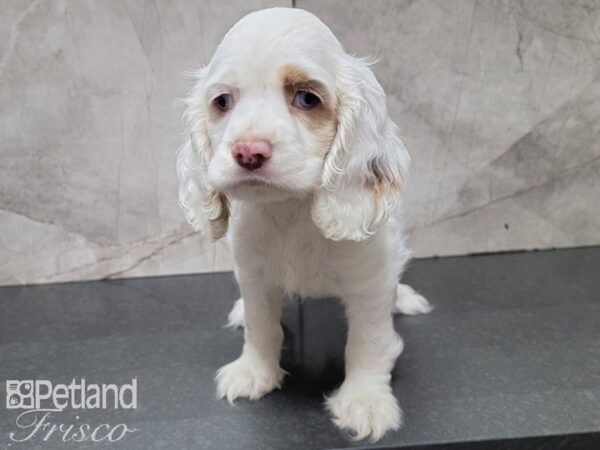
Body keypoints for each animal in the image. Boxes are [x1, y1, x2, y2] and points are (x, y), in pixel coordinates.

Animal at [177, 7, 432, 442]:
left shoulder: (370, 282)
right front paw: (253, 372)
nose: (248, 152)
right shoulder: (254, 275)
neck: (290, 211)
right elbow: (261, 326)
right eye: (223, 101)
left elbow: (369, 341)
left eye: (307, 99)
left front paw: (365, 401)